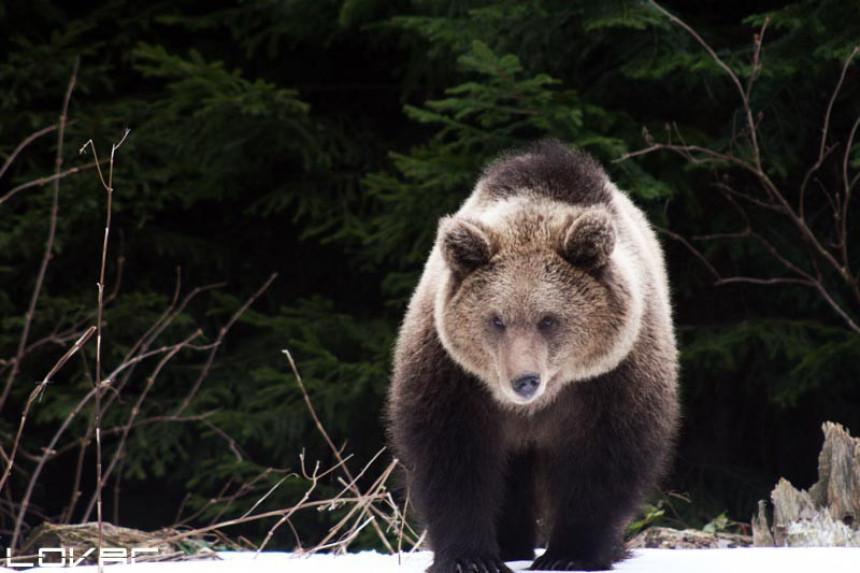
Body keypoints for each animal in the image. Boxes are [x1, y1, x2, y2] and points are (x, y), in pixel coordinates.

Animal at [388, 140, 680, 572]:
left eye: (548, 319)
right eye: (496, 319)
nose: (524, 380)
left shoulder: (613, 378)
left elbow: (603, 459)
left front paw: (570, 554)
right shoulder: (452, 374)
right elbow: (452, 457)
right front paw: (470, 557)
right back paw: (511, 543)